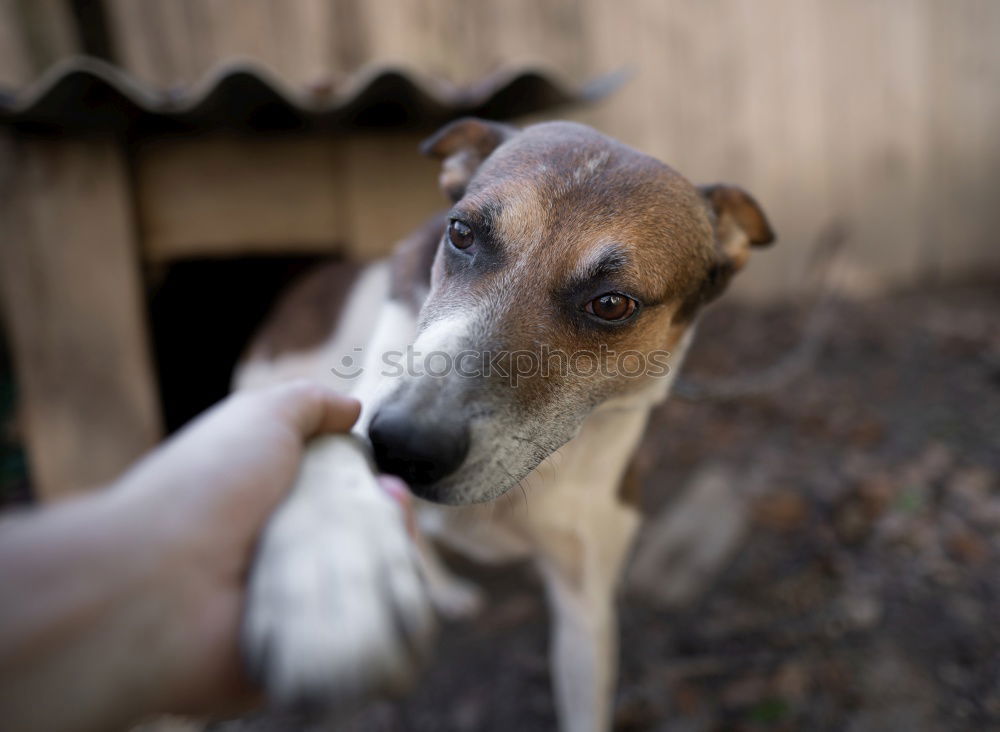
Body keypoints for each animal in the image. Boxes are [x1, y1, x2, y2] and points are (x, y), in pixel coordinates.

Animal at [234, 117, 772, 728]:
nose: (404, 446)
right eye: (462, 234)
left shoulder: (585, 603)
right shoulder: (368, 401)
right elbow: (328, 443)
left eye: (612, 304)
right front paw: (328, 560)